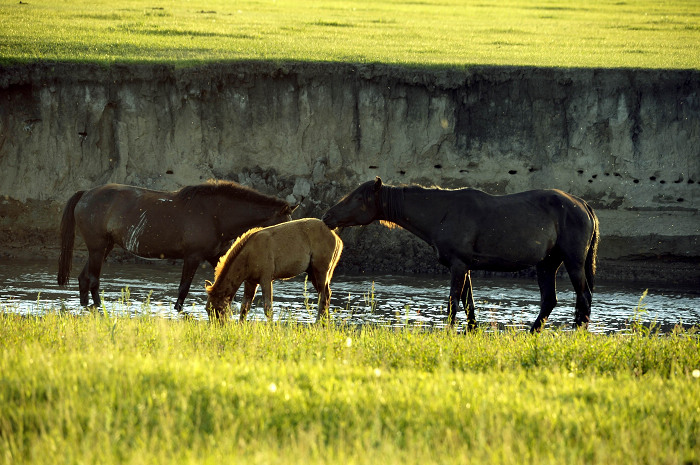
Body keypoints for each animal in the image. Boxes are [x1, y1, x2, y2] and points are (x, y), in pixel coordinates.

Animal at [56, 181, 294, 312]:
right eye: (283, 224)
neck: (215, 213)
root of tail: (86, 194)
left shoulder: (214, 255)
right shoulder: (193, 256)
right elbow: (183, 289)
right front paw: (178, 310)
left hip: (103, 248)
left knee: (84, 278)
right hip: (98, 248)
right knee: (93, 280)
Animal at [204, 218, 344, 320]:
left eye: (218, 309)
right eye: (206, 309)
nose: (218, 326)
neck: (249, 254)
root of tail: (337, 238)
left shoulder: (266, 279)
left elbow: (268, 308)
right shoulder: (250, 282)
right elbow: (245, 307)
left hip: (321, 271)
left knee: (323, 297)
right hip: (313, 273)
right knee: (326, 295)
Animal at [324, 176, 600, 332]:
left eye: (358, 198)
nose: (327, 216)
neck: (442, 213)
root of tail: (583, 205)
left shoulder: (458, 265)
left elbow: (453, 302)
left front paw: (448, 331)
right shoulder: (465, 266)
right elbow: (469, 304)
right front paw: (471, 330)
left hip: (573, 262)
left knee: (583, 297)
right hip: (547, 264)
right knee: (550, 301)